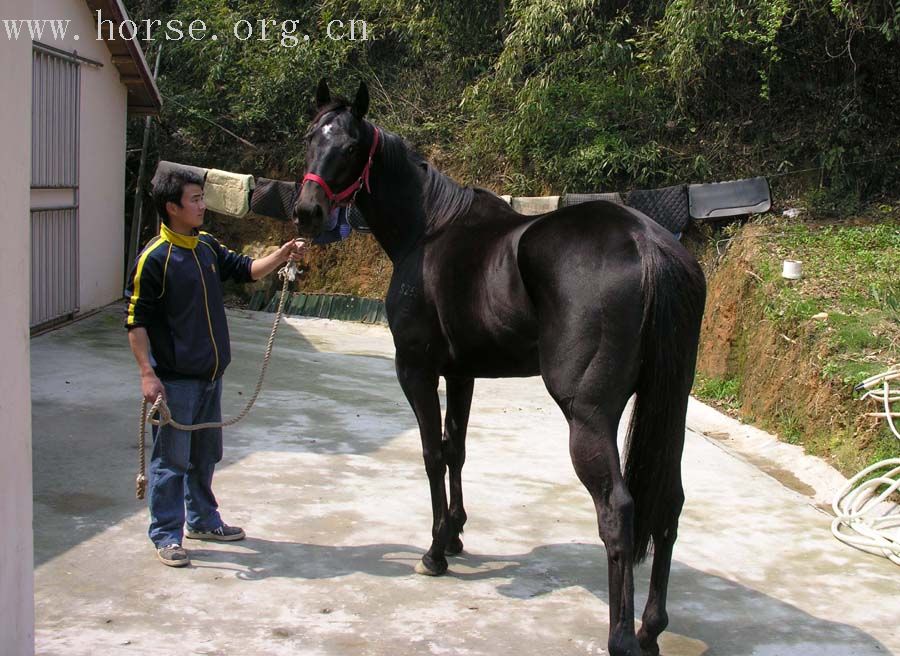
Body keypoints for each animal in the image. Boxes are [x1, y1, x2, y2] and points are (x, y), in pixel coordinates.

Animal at [292, 80, 708, 656]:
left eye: (352, 146)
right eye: (311, 136)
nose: (307, 212)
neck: (429, 229)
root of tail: (647, 245)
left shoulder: (416, 370)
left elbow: (431, 454)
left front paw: (435, 551)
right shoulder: (461, 373)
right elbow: (456, 449)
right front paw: (456, 533)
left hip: (588, 416)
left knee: (618, 509)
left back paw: (622, 635)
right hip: (670, 406)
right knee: (668, 503)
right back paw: (649, 628)